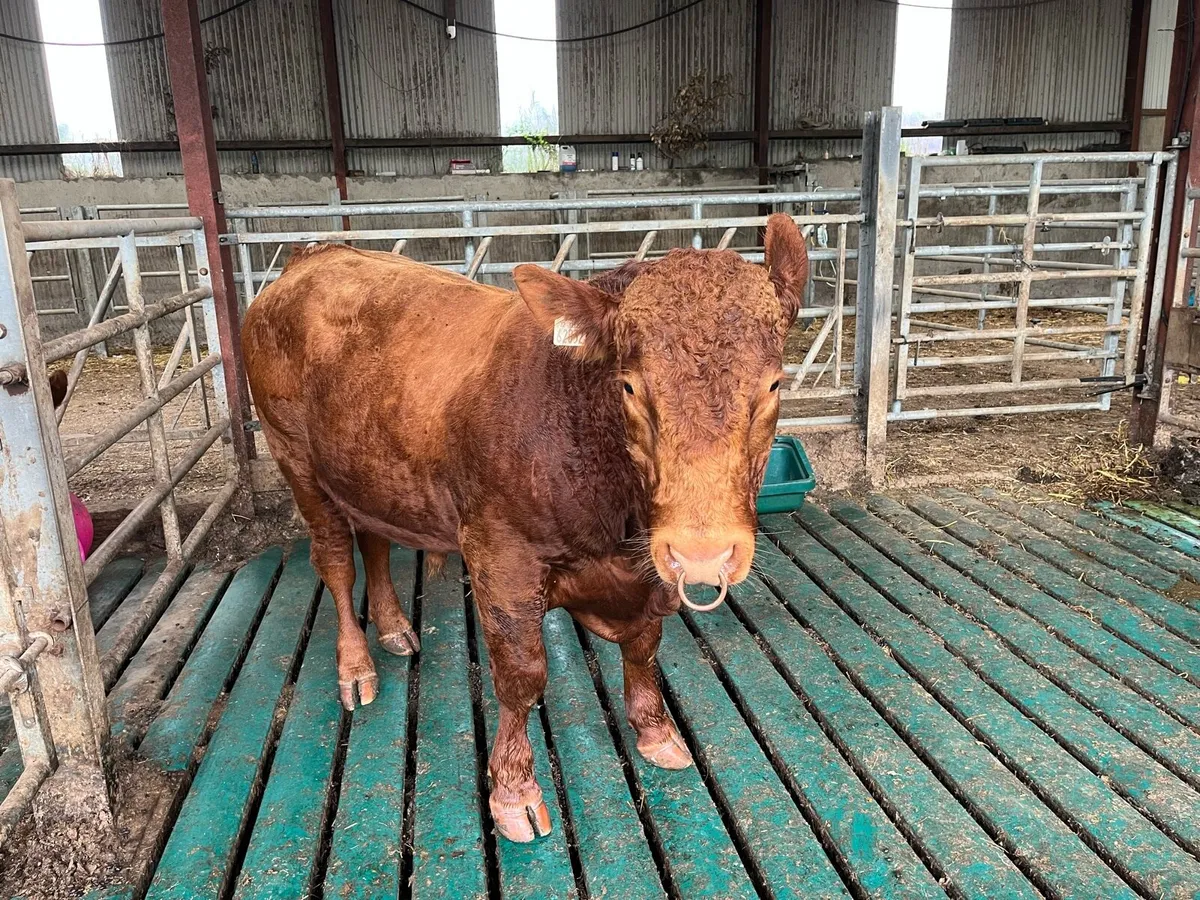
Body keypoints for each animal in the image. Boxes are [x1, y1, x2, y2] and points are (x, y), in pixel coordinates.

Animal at [241, 213, 809, 843]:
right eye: (630, 386)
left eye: (774, 385)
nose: (701, 553)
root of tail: (314, 257)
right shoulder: (500, 557)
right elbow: (522, 675)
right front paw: (513, 791)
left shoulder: (645, 574)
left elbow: (644, 645)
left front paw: (656, 732)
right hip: (296, 461)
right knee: (337, 559)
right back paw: (356, 666)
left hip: (369, 473)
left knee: (376, 543)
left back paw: (393, 629)